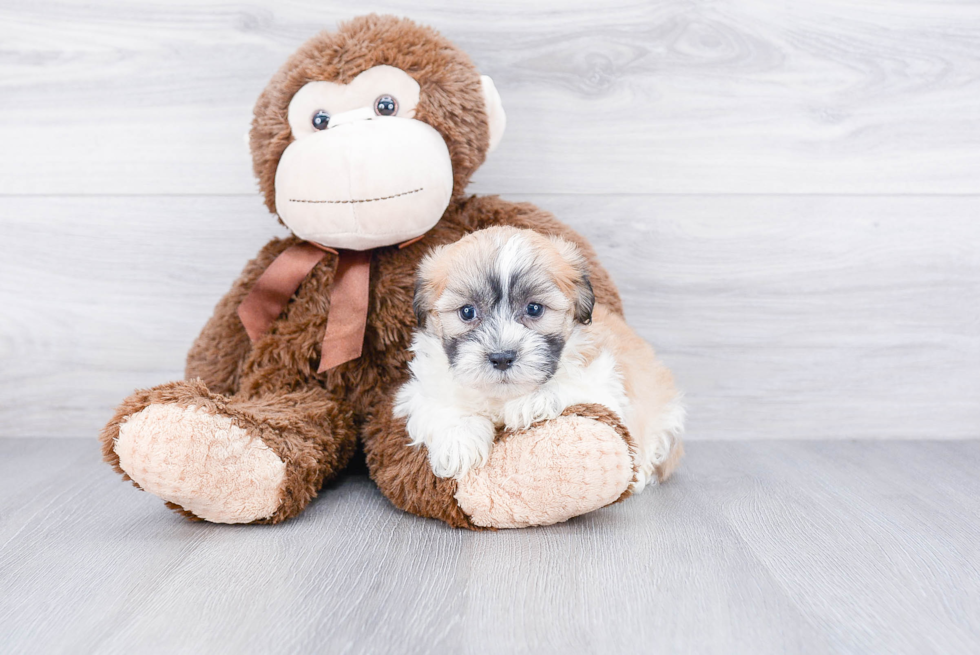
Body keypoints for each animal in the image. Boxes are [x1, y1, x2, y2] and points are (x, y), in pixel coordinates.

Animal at [394, 227, 684, 492]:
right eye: (467, 312)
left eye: (534, 309)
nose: (501, 357)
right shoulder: (421, 389)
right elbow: (439, 406)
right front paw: (459, 441)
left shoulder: (605, 382)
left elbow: (578, 387)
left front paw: (531, 401)